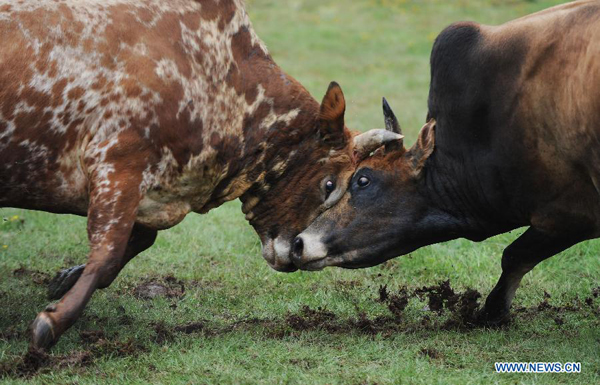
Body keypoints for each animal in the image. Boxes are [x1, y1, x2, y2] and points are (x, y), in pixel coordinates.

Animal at [1, 0, 404, 348]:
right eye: (330, 184)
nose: (295, 254)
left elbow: (137, 241)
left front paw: (65, 280)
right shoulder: (116, 162)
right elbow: (108, 254)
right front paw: (52, 323)